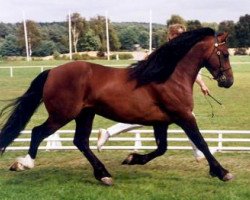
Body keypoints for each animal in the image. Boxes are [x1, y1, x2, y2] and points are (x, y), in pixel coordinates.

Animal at [0, 27, 234, 185]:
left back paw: (103, 174)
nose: (229, 82)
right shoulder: (184, 116)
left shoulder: (162, 122)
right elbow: (201, 143)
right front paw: (222, 172)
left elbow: (162, 148)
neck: (168, 77)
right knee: (38, 132)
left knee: (80, 141)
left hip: (85, 114)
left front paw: (133, 158)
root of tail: (52, 72)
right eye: (225, 54)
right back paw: (24, 163)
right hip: (62, 115)